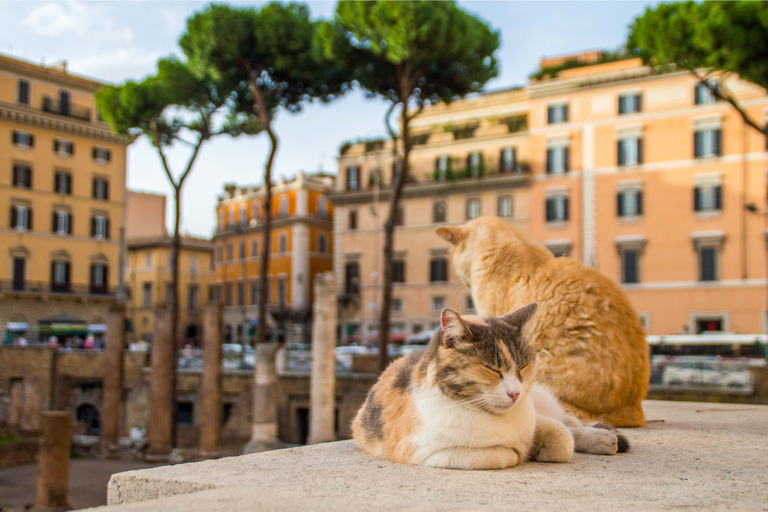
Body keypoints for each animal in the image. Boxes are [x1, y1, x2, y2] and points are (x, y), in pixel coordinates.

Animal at [352, 304, 628, 468]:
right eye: (492, 369)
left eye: (522, 367)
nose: (515, 393)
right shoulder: (433, 454)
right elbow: (505, 453)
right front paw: (525, 452)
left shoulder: (534, 418)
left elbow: (562, 438)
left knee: (569, 422)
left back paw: (605, 437)